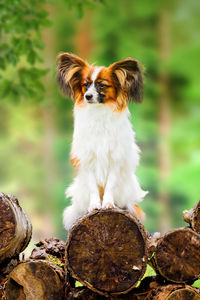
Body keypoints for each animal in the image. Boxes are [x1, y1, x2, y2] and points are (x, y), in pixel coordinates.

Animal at [57, 52, 148, 230]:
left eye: (102, 85)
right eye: (85, 85)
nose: (88, 96)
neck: (99, 113)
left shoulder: (115, 159)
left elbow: (110, 185)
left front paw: (107, 204)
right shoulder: (88, 160)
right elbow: (93, 187)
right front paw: (94, 206)